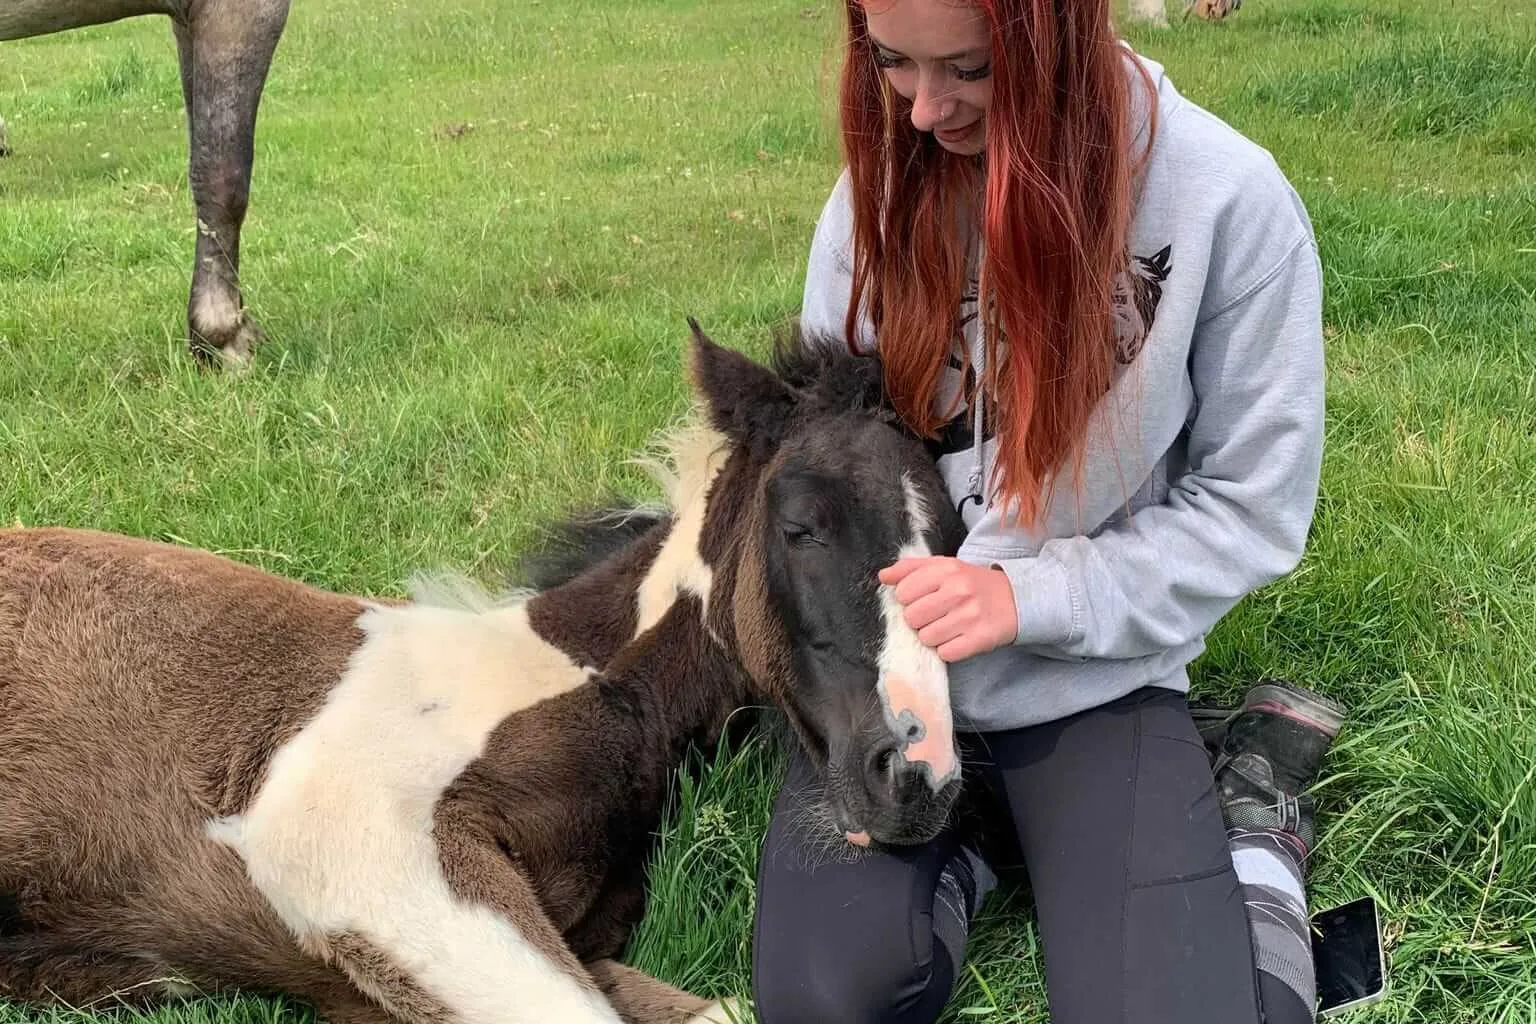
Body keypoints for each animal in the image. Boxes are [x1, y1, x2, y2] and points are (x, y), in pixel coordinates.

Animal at [0, 320, 969, 1024]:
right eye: (801, 526)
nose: (918, 778)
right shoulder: (363, 852)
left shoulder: (580, 941)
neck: (577, 681)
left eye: (957, 537)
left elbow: (713, 1011)